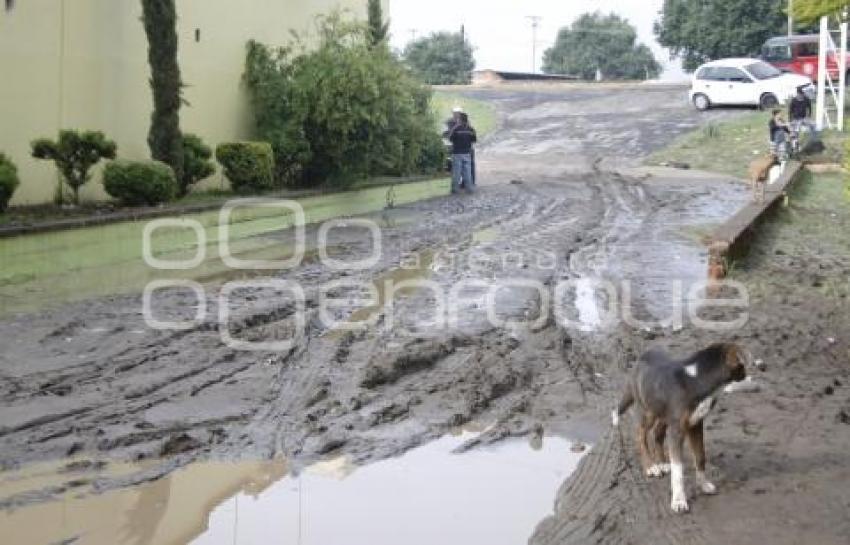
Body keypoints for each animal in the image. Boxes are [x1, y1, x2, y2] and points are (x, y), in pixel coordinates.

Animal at [612, 342, 744, 512]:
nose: (747, 373)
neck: (697, 379)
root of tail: (641, 357)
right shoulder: (677, 431)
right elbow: (678, 470)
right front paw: (679, 501)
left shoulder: (695, 425)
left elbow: (700, 456)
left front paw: (703, 484)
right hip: (648, 412)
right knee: (641, 436)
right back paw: (651, 466)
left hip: (663, 414)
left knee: (657, 434)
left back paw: (662, 463)